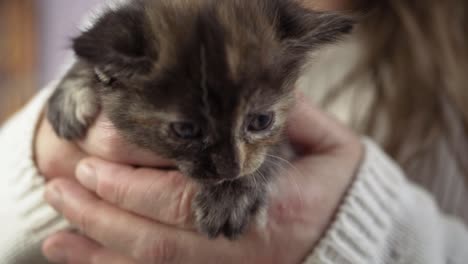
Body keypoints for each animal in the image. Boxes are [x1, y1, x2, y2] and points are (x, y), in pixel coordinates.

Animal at [46, 0, 352, 239]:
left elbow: (271, 153)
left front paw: (228, 198)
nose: (231, 171)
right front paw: (69, 94)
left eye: (261, 121)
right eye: (186, 130)